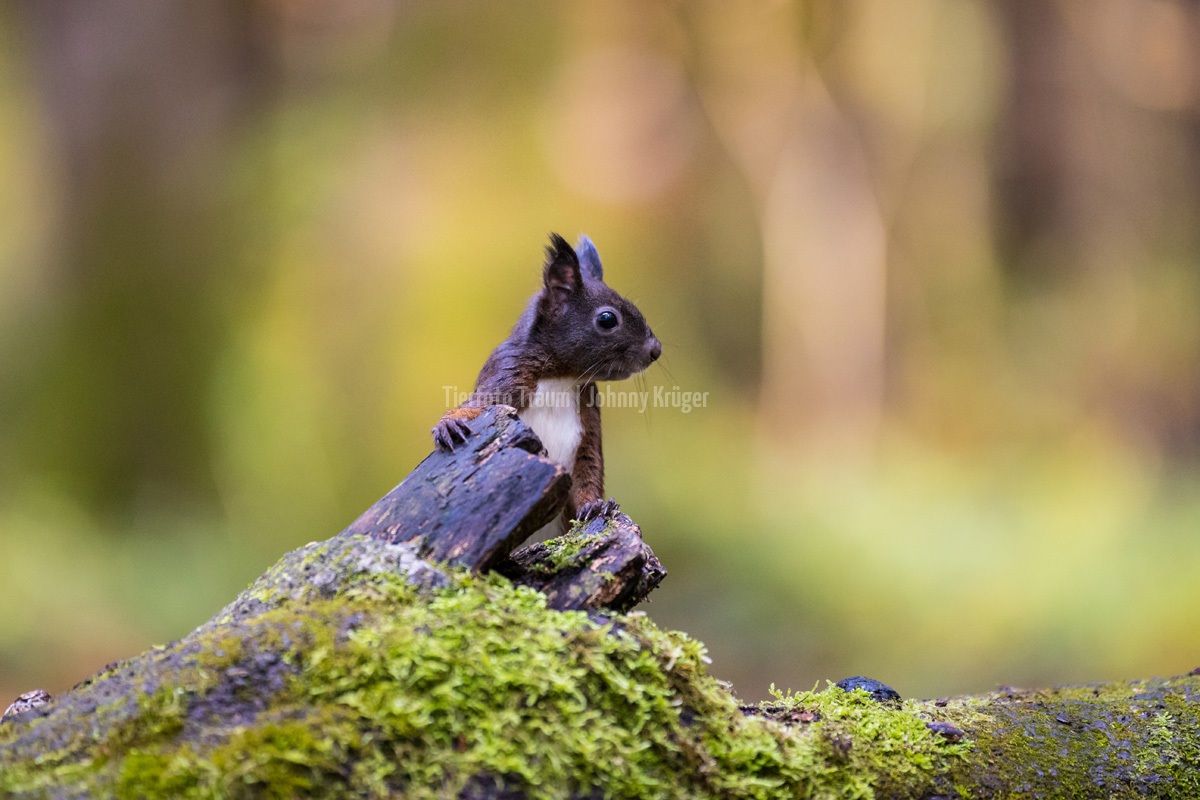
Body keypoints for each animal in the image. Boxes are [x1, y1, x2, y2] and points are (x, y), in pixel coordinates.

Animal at [432, 233, 661, 529]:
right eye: (607, 318)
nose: (656, 350)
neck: (559, 377)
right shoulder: (505, 377)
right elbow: (477, 404)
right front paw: (449, 423)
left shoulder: (588, 419)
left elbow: (589, 470)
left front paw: (596, 506)